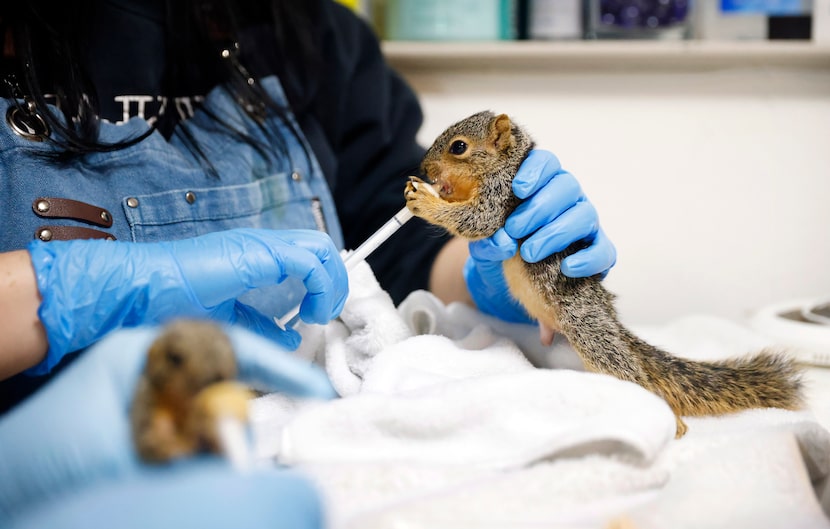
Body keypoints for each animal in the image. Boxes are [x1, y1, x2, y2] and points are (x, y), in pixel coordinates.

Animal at [404, 109, 808, 436]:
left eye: (459, 147)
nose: (425, 170)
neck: (511, 164)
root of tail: (610, 318)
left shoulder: (501, 198)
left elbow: (476, 219)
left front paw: (424, 199)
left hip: (588, 329)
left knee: (631, 373)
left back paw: (671, 420)